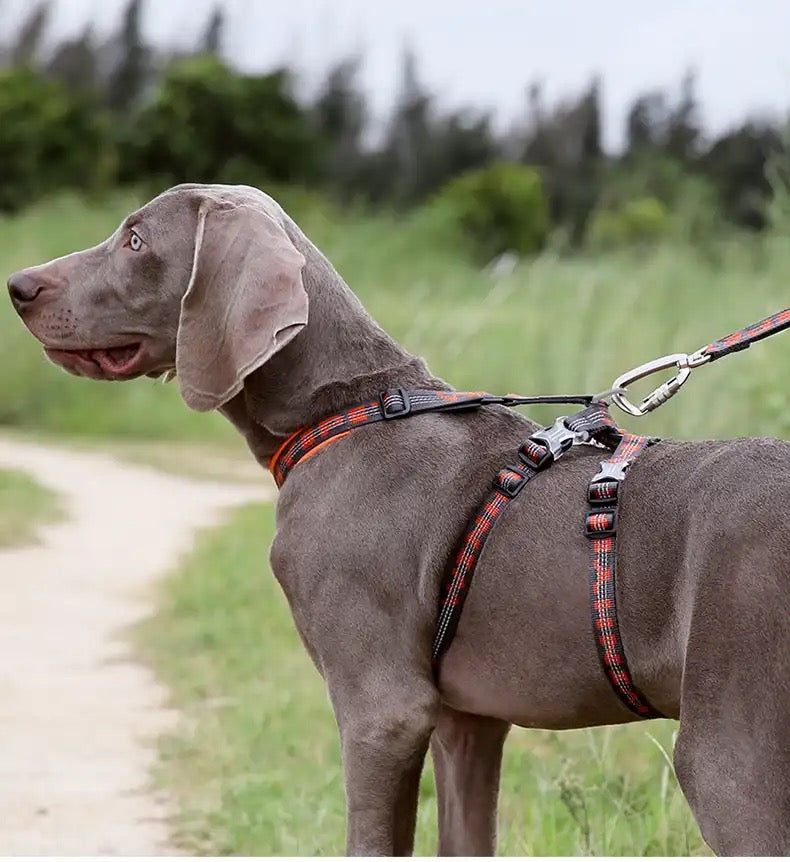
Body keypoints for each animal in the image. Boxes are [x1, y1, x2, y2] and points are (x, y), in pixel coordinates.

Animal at [7, 184, 790, 856]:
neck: (345, 409)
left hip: (730, 755)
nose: (17, 285)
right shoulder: (468, 721)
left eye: (136, 239)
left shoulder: (382, 709)